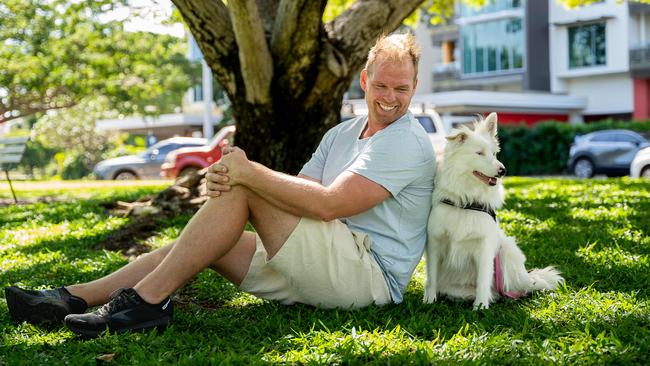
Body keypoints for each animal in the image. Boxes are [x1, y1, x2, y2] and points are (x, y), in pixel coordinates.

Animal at [422, 111, 560, 308]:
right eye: (479, 153)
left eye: (494, 154)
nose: (503, 170)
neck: (466, 200)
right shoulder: (435, 243)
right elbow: (431, 277)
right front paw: (429, 300)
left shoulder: (485, 246)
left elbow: (483, 279)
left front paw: (480, 306)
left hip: (507, 251)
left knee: (529, 283)